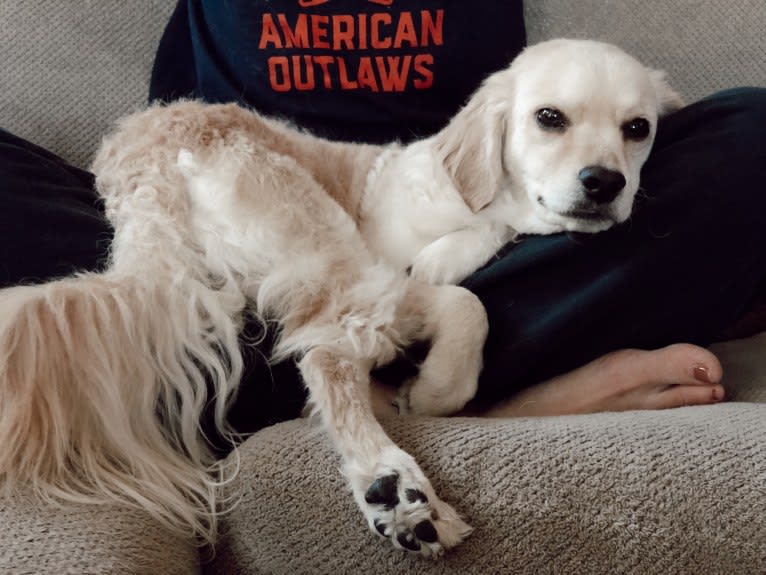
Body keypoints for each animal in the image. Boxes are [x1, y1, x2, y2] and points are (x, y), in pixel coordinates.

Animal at [0, 37, 684, 560]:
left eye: (637, 129)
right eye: (549, 118)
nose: (604, 183)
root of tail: (148, 157)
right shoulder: (394, 253)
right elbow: (462, 294)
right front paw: (430, 383)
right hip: (332, 251)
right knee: (337, 352)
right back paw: (396, 484)